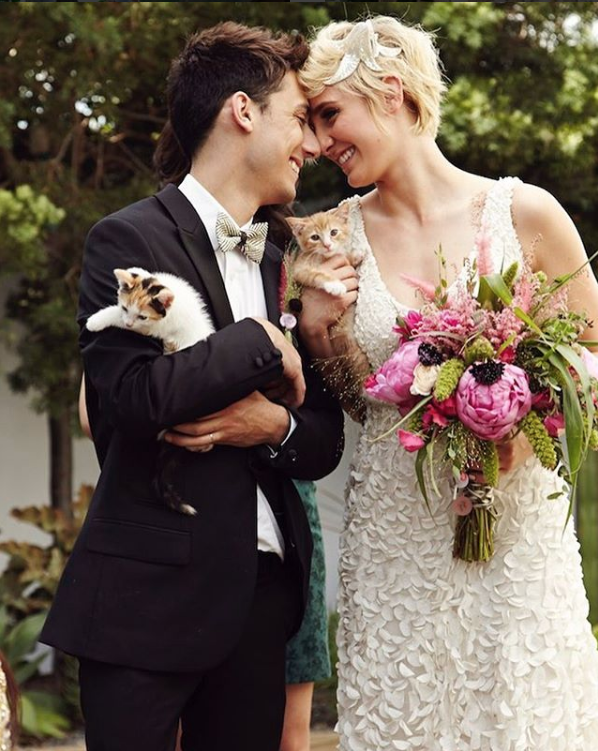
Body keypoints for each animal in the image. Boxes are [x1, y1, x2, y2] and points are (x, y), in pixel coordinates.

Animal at [85, 268, 214, 520]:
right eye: (126, 308)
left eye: (142, 316)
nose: (128, 321)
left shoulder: (156, 327)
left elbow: (126, 323)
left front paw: (96, 321)